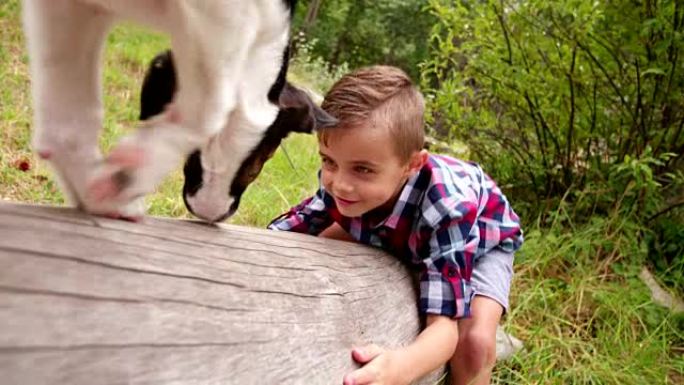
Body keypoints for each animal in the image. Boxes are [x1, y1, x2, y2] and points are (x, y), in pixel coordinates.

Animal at [22, 0, 338, 220]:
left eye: (263, 157)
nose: (210, 211)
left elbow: (71, 120)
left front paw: (102, 190)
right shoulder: (230, 14)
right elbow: (214, 102)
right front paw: (126, 175)